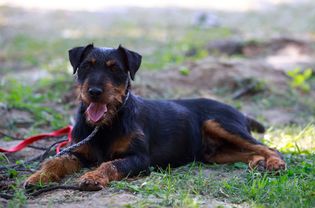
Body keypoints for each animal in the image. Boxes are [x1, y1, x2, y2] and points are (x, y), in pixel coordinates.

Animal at [24, 44, 286, 191]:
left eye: (115, 69)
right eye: (86, 66)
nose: (95, 92)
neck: (106, 125)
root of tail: (240, 113)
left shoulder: (140, 158)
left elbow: (110, 164)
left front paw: (93, 177)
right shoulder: (77, 152)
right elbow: (55, 161)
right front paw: (38, 177)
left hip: (221, 124)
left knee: (268, 147)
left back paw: (274, 163)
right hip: (215, 154)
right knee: (249, 151)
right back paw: (257, 162)